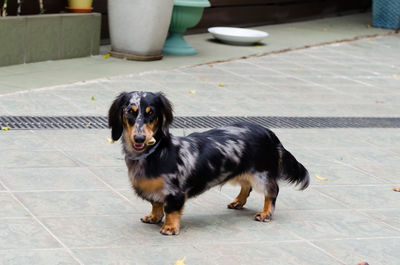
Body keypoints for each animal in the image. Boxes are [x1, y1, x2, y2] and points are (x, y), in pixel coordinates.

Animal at [107, 91, 310, 235]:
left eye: (152, 114)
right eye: (130, 112)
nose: (139, 138)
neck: (154, 153)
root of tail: (269, 133)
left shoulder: (174, 191)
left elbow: (171, 209)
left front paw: (170, 227)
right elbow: (156, 204)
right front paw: (154, 216)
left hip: (262, 174)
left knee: (272, 192)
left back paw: (266, 212)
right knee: (246, 186)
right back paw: (238, 202)